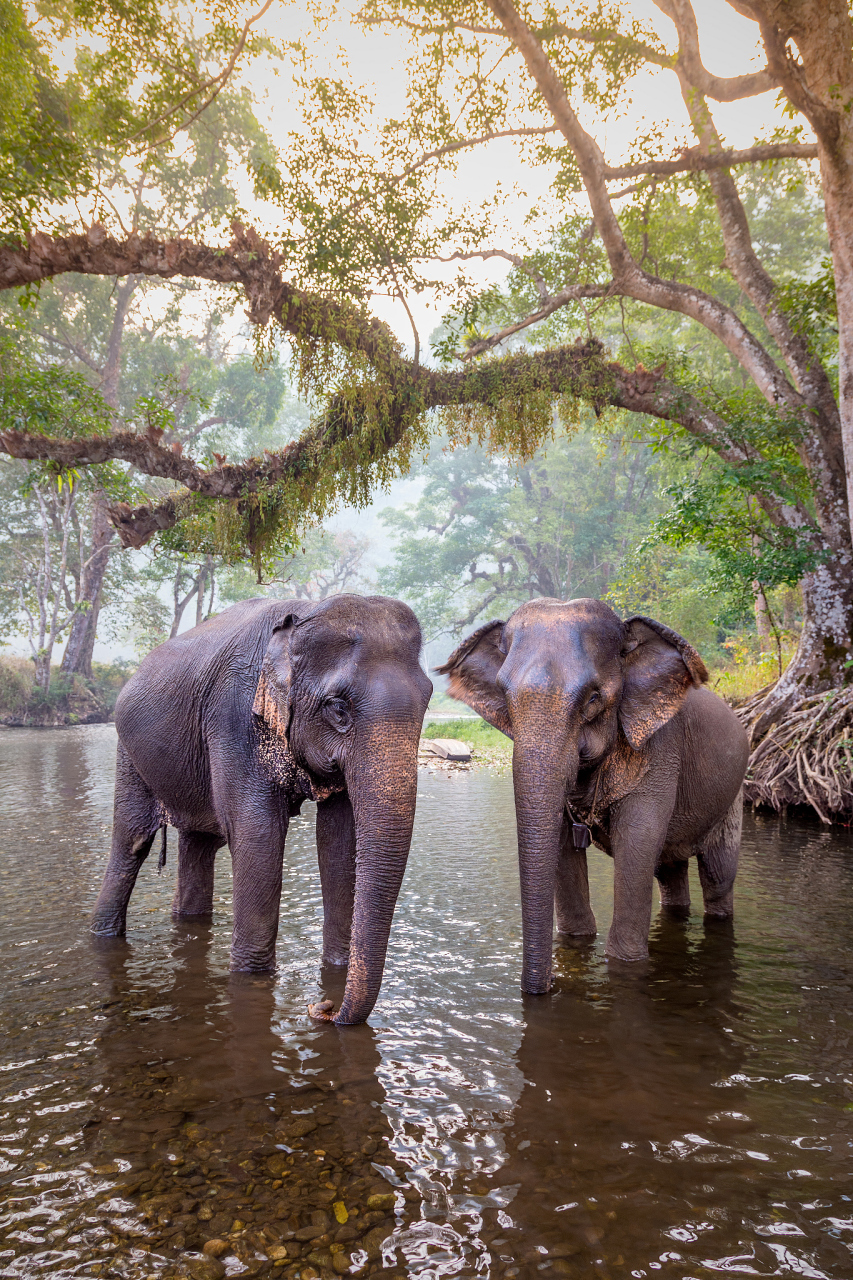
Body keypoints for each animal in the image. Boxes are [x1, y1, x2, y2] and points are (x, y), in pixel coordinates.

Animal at [90, 594, 432, 1025]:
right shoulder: (234, 719)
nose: (324, 1009)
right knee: (132, 840)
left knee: (199, 844)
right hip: (129, 753)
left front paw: (336, 970)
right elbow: (259, 838)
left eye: (429, 700)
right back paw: (103, 934)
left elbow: (339, 843)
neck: (304, 613)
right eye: (338, 709)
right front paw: (252, 980)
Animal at [437, 597, 749, 992]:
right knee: (669, 871)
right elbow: (561, 845)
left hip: (734, 795)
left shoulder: (662, 751)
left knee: (718, 875)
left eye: (593, 699)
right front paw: (575, 943)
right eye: (505, 697)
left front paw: (625, 962)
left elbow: (638, 841)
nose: (544, 988)